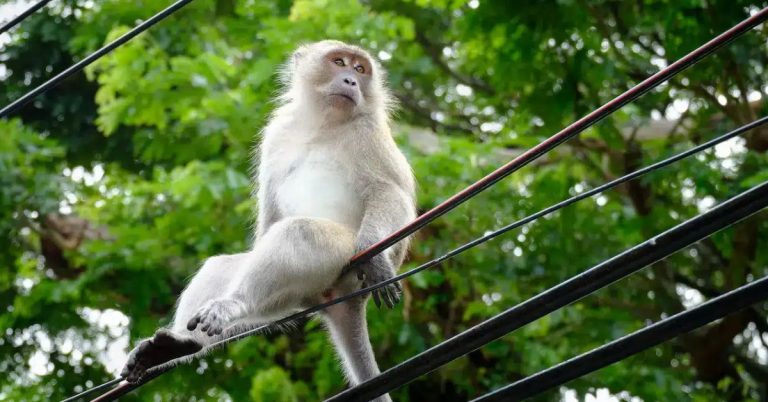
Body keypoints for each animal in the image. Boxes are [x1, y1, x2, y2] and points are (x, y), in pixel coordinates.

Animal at [120, 40, 416, 401]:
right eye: (339, 62)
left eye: (361, 70)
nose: (351, 81)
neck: (324, 123)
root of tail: (346, 300)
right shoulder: (277, 132)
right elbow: (270, 213)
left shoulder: (368, 132)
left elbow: (389, 193)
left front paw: (375, 257)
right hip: (300, 294)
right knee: (224, 266)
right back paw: (180, 343)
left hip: (342, 266)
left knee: (300, 233)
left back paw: (233, 305)